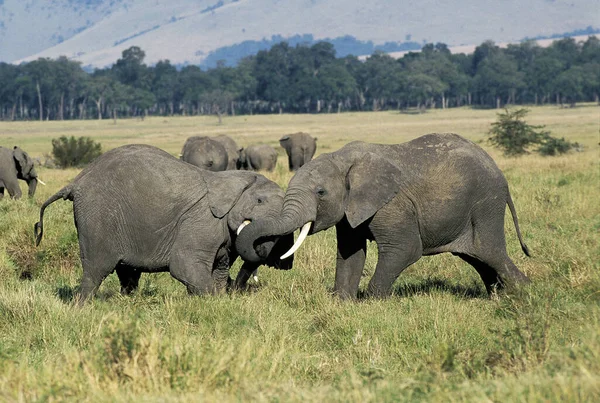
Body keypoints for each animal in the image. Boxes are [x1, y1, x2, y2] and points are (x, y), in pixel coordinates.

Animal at [34, 144, 292, 304]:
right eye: (259, 201)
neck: (232, 178)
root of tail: (75, 183)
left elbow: (219, 269)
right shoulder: (201, 220)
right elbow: (185, 265)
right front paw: (216, 301)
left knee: (128, 275)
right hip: (97, 215)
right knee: (96, 270)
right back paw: (81, 307)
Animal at [237, 133, 532, 300]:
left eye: (321, 192)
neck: (343, 159)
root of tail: (498, 171)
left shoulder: (392, 204)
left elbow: (405, 249)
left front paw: (373, 301)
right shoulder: (351, 208)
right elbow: (350, 252)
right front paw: (341, 301)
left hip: (485, 203)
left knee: (489, 251)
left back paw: (522, 292)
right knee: (476, 257)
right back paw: (499, 296)